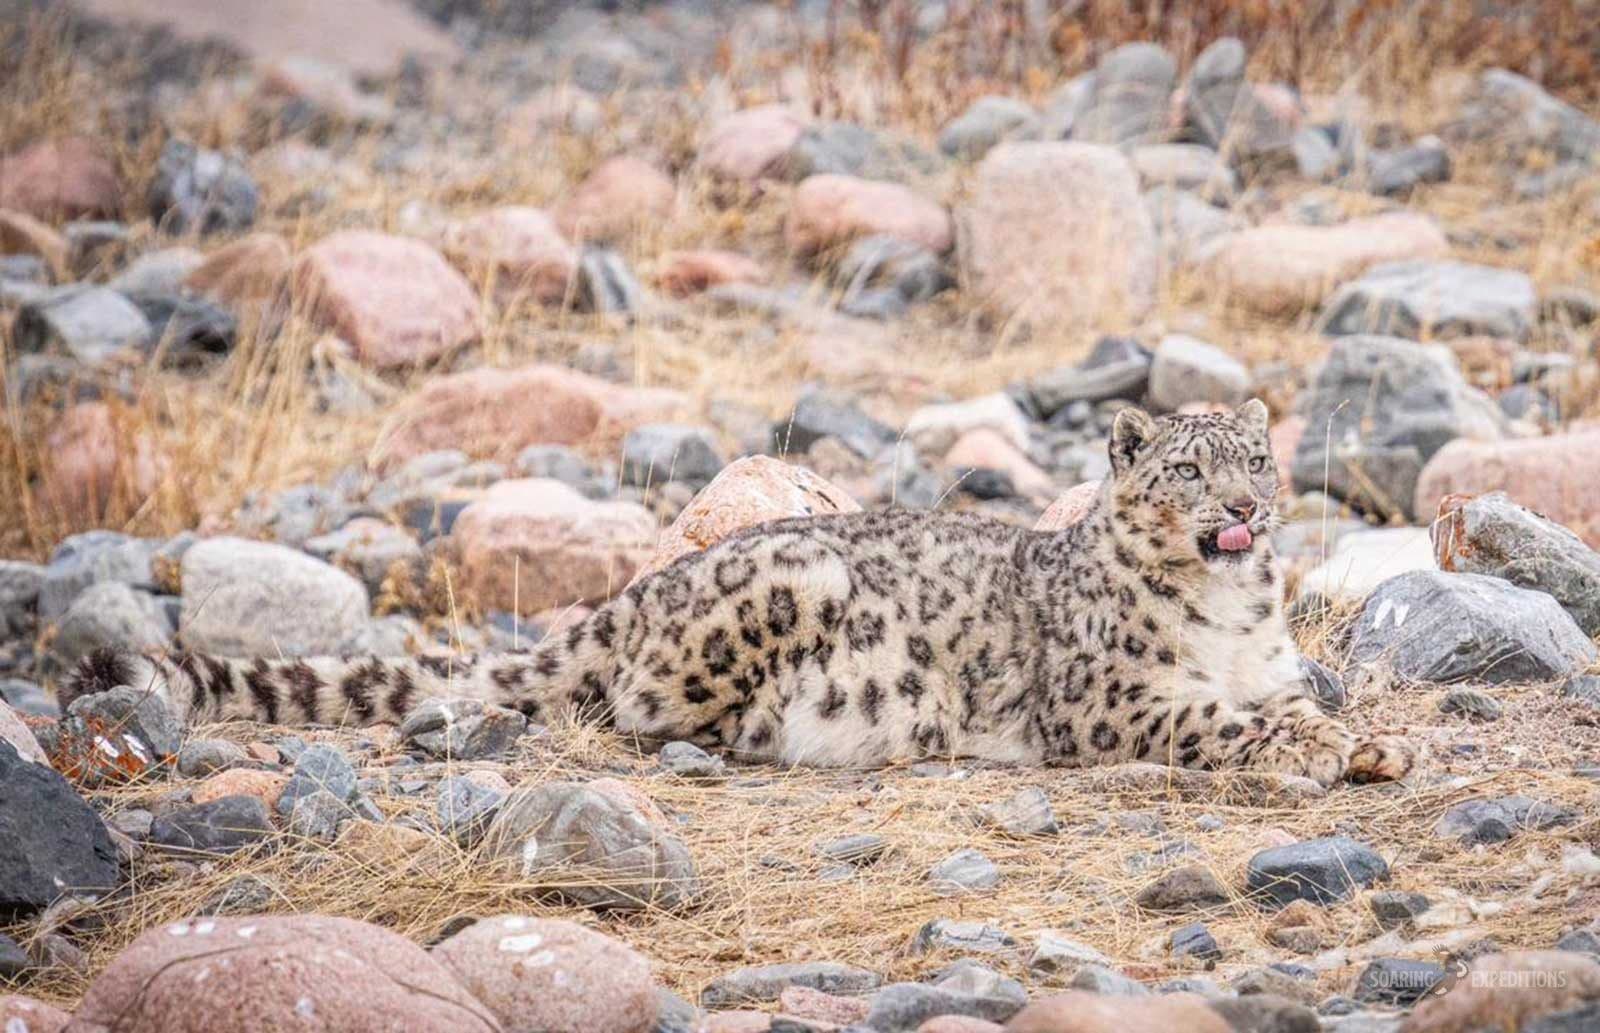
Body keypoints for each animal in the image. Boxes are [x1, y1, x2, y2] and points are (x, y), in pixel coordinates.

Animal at [65, 399, 1414, 787]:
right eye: (1187, 469)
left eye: (1256, 463)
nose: (1241, 512)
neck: (1231, 616)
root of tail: (636, 589)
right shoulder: (1111, 699)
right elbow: (1218, 718)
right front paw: (1319, 749)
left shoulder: (1269, 660)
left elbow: (1301, 697)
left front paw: (1365, 737)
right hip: (780, 592)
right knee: (635, 703)